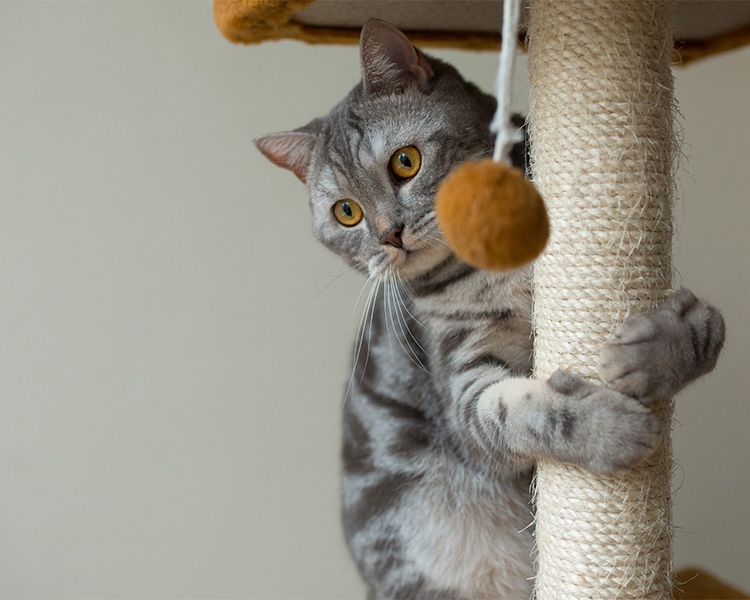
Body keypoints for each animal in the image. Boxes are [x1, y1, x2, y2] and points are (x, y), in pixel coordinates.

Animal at [256, 18, 724, 600]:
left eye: (405, 161)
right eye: (346, 213)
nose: (388, 235)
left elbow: (711, 326)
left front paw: (654, 351)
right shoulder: (463, 380)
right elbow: (517, 414)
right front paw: (609, 427)